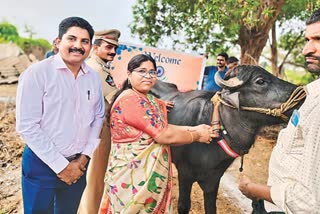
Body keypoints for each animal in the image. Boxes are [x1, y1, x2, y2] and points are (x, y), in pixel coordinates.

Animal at [151, 64, 304, 213]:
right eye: (260, 81)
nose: (302, 95)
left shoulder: (213, 179)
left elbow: (211, 208)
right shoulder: (185, 173)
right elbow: (184, 205)